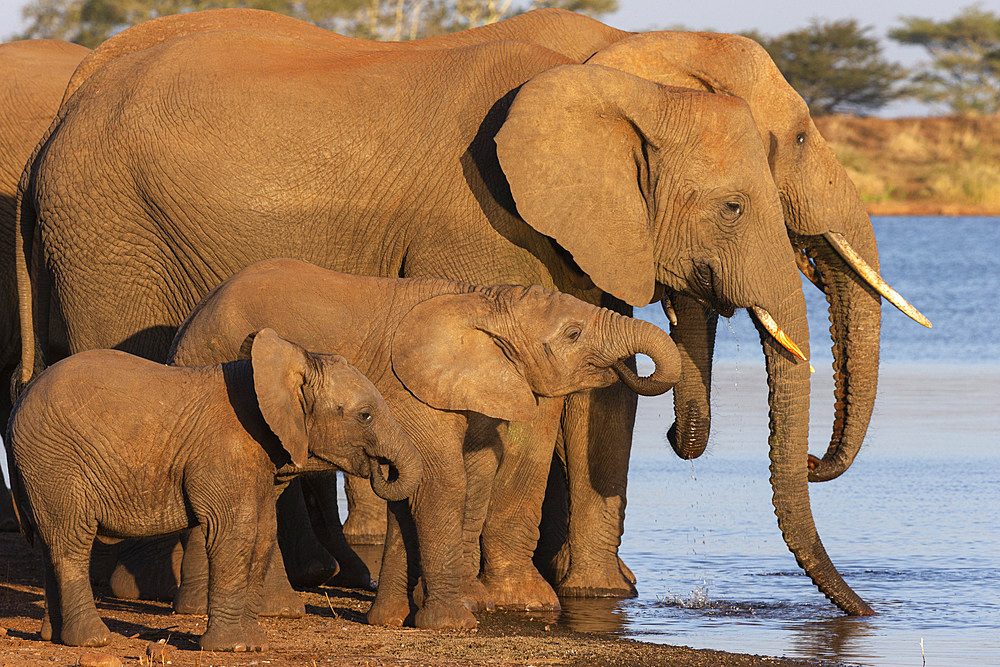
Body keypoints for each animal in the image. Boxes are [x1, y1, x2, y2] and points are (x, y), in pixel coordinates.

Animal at [3, 330, 418, 652]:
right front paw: (232, 647)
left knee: (51, 542)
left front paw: (255, 644)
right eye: (365, 415)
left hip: (41, 470)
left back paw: (54, 637)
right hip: (54, 461)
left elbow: (263, 533)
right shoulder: (227, 450)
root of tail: (15, 409)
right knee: (72, 541)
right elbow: (234, 532)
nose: (382, 468)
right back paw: (93, 641)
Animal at [166, 260, 680, 632]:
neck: (481, 300)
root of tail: (188, 322)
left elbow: (456, 479)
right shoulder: (407, 390)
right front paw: (454, 624)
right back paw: (269, 611)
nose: (624, 367)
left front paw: (397, 619)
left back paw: (203, 609)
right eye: (573, 334)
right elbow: (444, 480)